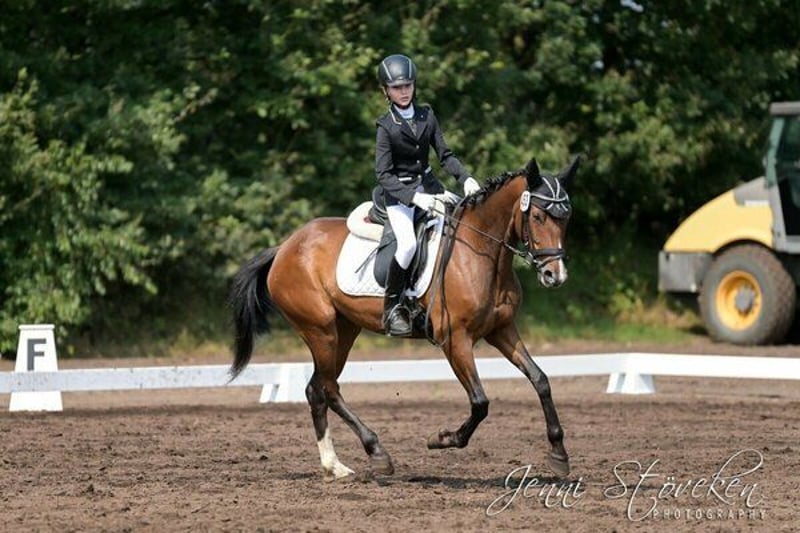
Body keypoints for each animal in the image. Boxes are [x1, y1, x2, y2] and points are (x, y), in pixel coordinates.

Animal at [229, 156, 579, 481]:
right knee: (327, 388)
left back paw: (338, 464)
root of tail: (285, 247)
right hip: (320, 330)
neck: (481, 251)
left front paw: (559, 455)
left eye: (566, 219)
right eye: (537, 216)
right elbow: (480, 402)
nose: (555, 275)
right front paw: (443, 439)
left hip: (344, 330)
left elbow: (540, 380)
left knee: (318, 389)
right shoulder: (455, 340)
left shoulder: (502, 330)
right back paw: (372, 454)